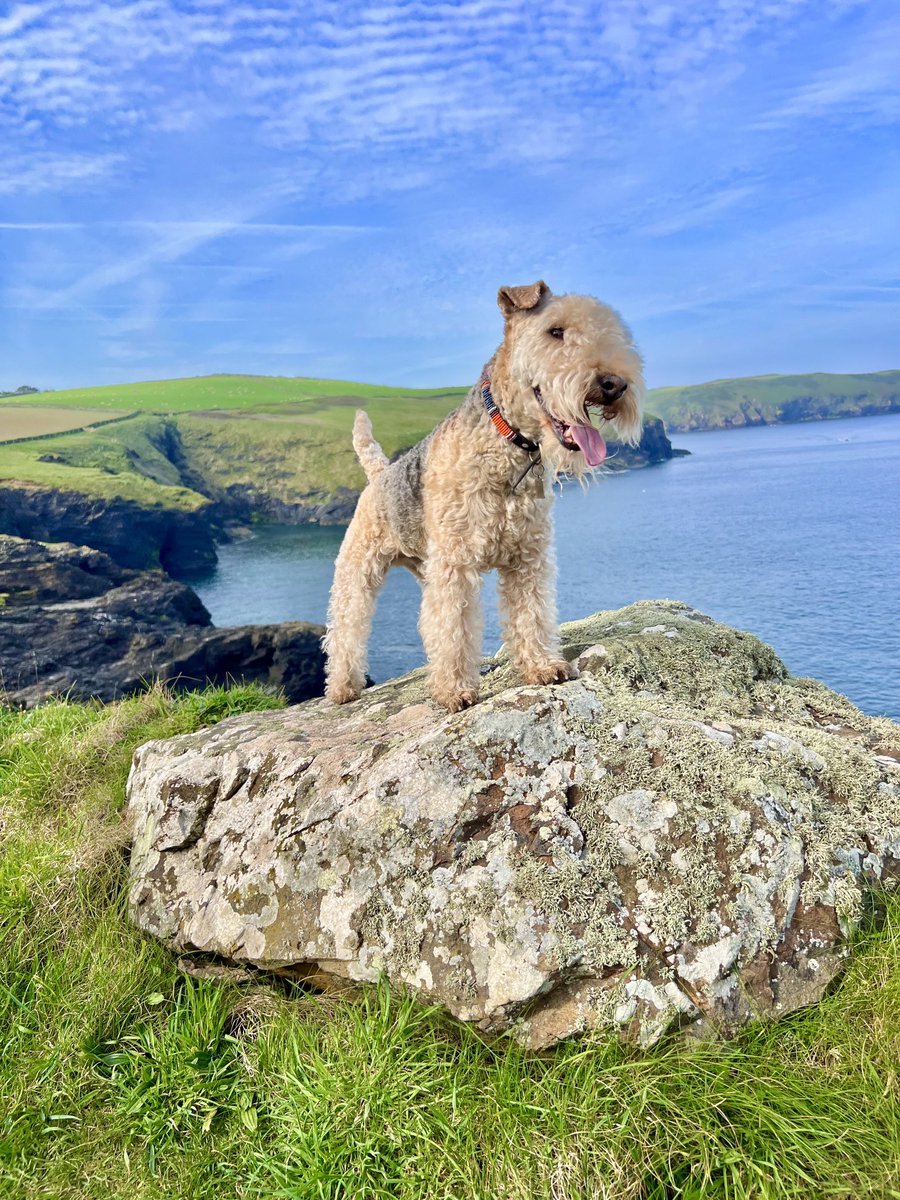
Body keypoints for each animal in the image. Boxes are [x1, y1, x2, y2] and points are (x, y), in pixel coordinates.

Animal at [321, 280, 643, 710]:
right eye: (555, 331)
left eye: (611, 331)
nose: (615, 384)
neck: (508, 444)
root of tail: (380, 473)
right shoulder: (456, 566)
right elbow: (455, 627)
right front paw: (455, 690)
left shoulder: (528, 558)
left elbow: (531, 613)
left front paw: (543, 666)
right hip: (360, 569)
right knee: (347, 627)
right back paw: (343, 686)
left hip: (425, 568)